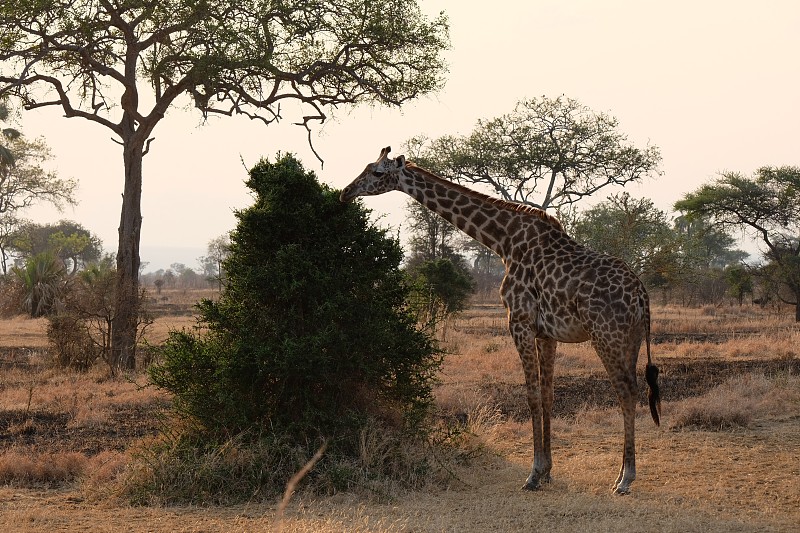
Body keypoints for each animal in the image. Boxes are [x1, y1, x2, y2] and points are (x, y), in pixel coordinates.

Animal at [340, 147, 664, 494]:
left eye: (377, 173)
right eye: (366, 167)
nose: (345, 192)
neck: (503, 241)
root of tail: (642, 296)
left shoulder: (518, 321)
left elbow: (531, 396)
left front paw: (533, 474)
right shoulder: (545, 333)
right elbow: (547, 395)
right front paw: (547, 472)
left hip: (606, 336)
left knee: (626, 391)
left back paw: (626, 479)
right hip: (630, 339)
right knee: (632, 390)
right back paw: (620, 474)